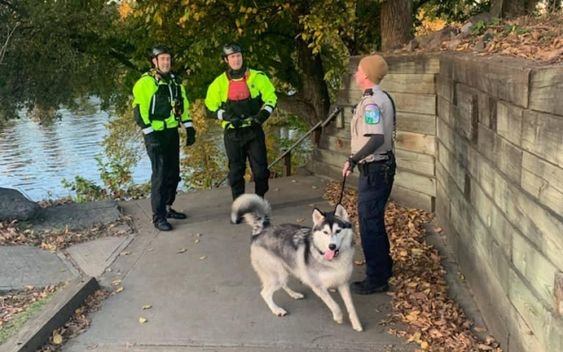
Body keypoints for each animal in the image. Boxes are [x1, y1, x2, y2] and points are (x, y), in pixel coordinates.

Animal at [231, 194, 364, 332]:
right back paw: (277, 310)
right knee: (265, 293)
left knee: (283, 285)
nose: (331, 246)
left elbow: (351, 307)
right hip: (278, 275)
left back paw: (294, 294)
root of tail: (262, 230)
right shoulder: (318, 287)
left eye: (338, 231)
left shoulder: (343, 284)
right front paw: (338, 317)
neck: (332, 261)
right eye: (325, 232)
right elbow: (334, 304)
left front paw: (356, 324)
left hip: (285, 271)